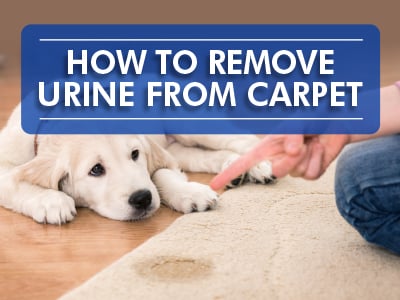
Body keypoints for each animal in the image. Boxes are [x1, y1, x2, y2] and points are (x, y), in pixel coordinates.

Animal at [0, 104, 272, 224]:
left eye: (134, 154)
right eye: (96, 170)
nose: (142, 199)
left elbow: (161, 175)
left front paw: (190, 193)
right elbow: (16, 182)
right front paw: (51, 201)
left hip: (190, 124)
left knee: (242, 138)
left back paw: (259, 166)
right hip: (179, 147)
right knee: (204, 155)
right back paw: (233, 168)